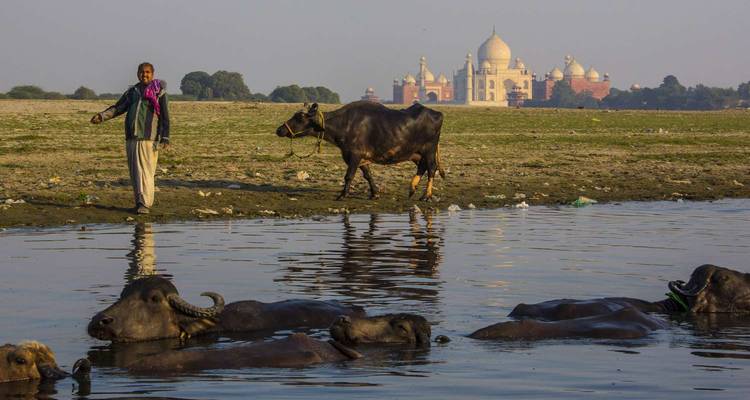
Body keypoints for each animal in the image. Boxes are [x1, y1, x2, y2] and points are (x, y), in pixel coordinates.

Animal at [276, 101, 446, 201]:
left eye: (300, 117)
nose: (279, 130)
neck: (344, 125)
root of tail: (437, 113)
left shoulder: (354, 155)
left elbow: (349, 176)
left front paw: (342, 195)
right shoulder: (359, 157)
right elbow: (367, 174)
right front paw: (375, 193)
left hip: (429, 150)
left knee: (431, 169)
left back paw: (426, 196)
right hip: (416, 153)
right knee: (422, 167)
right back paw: (412, 189)